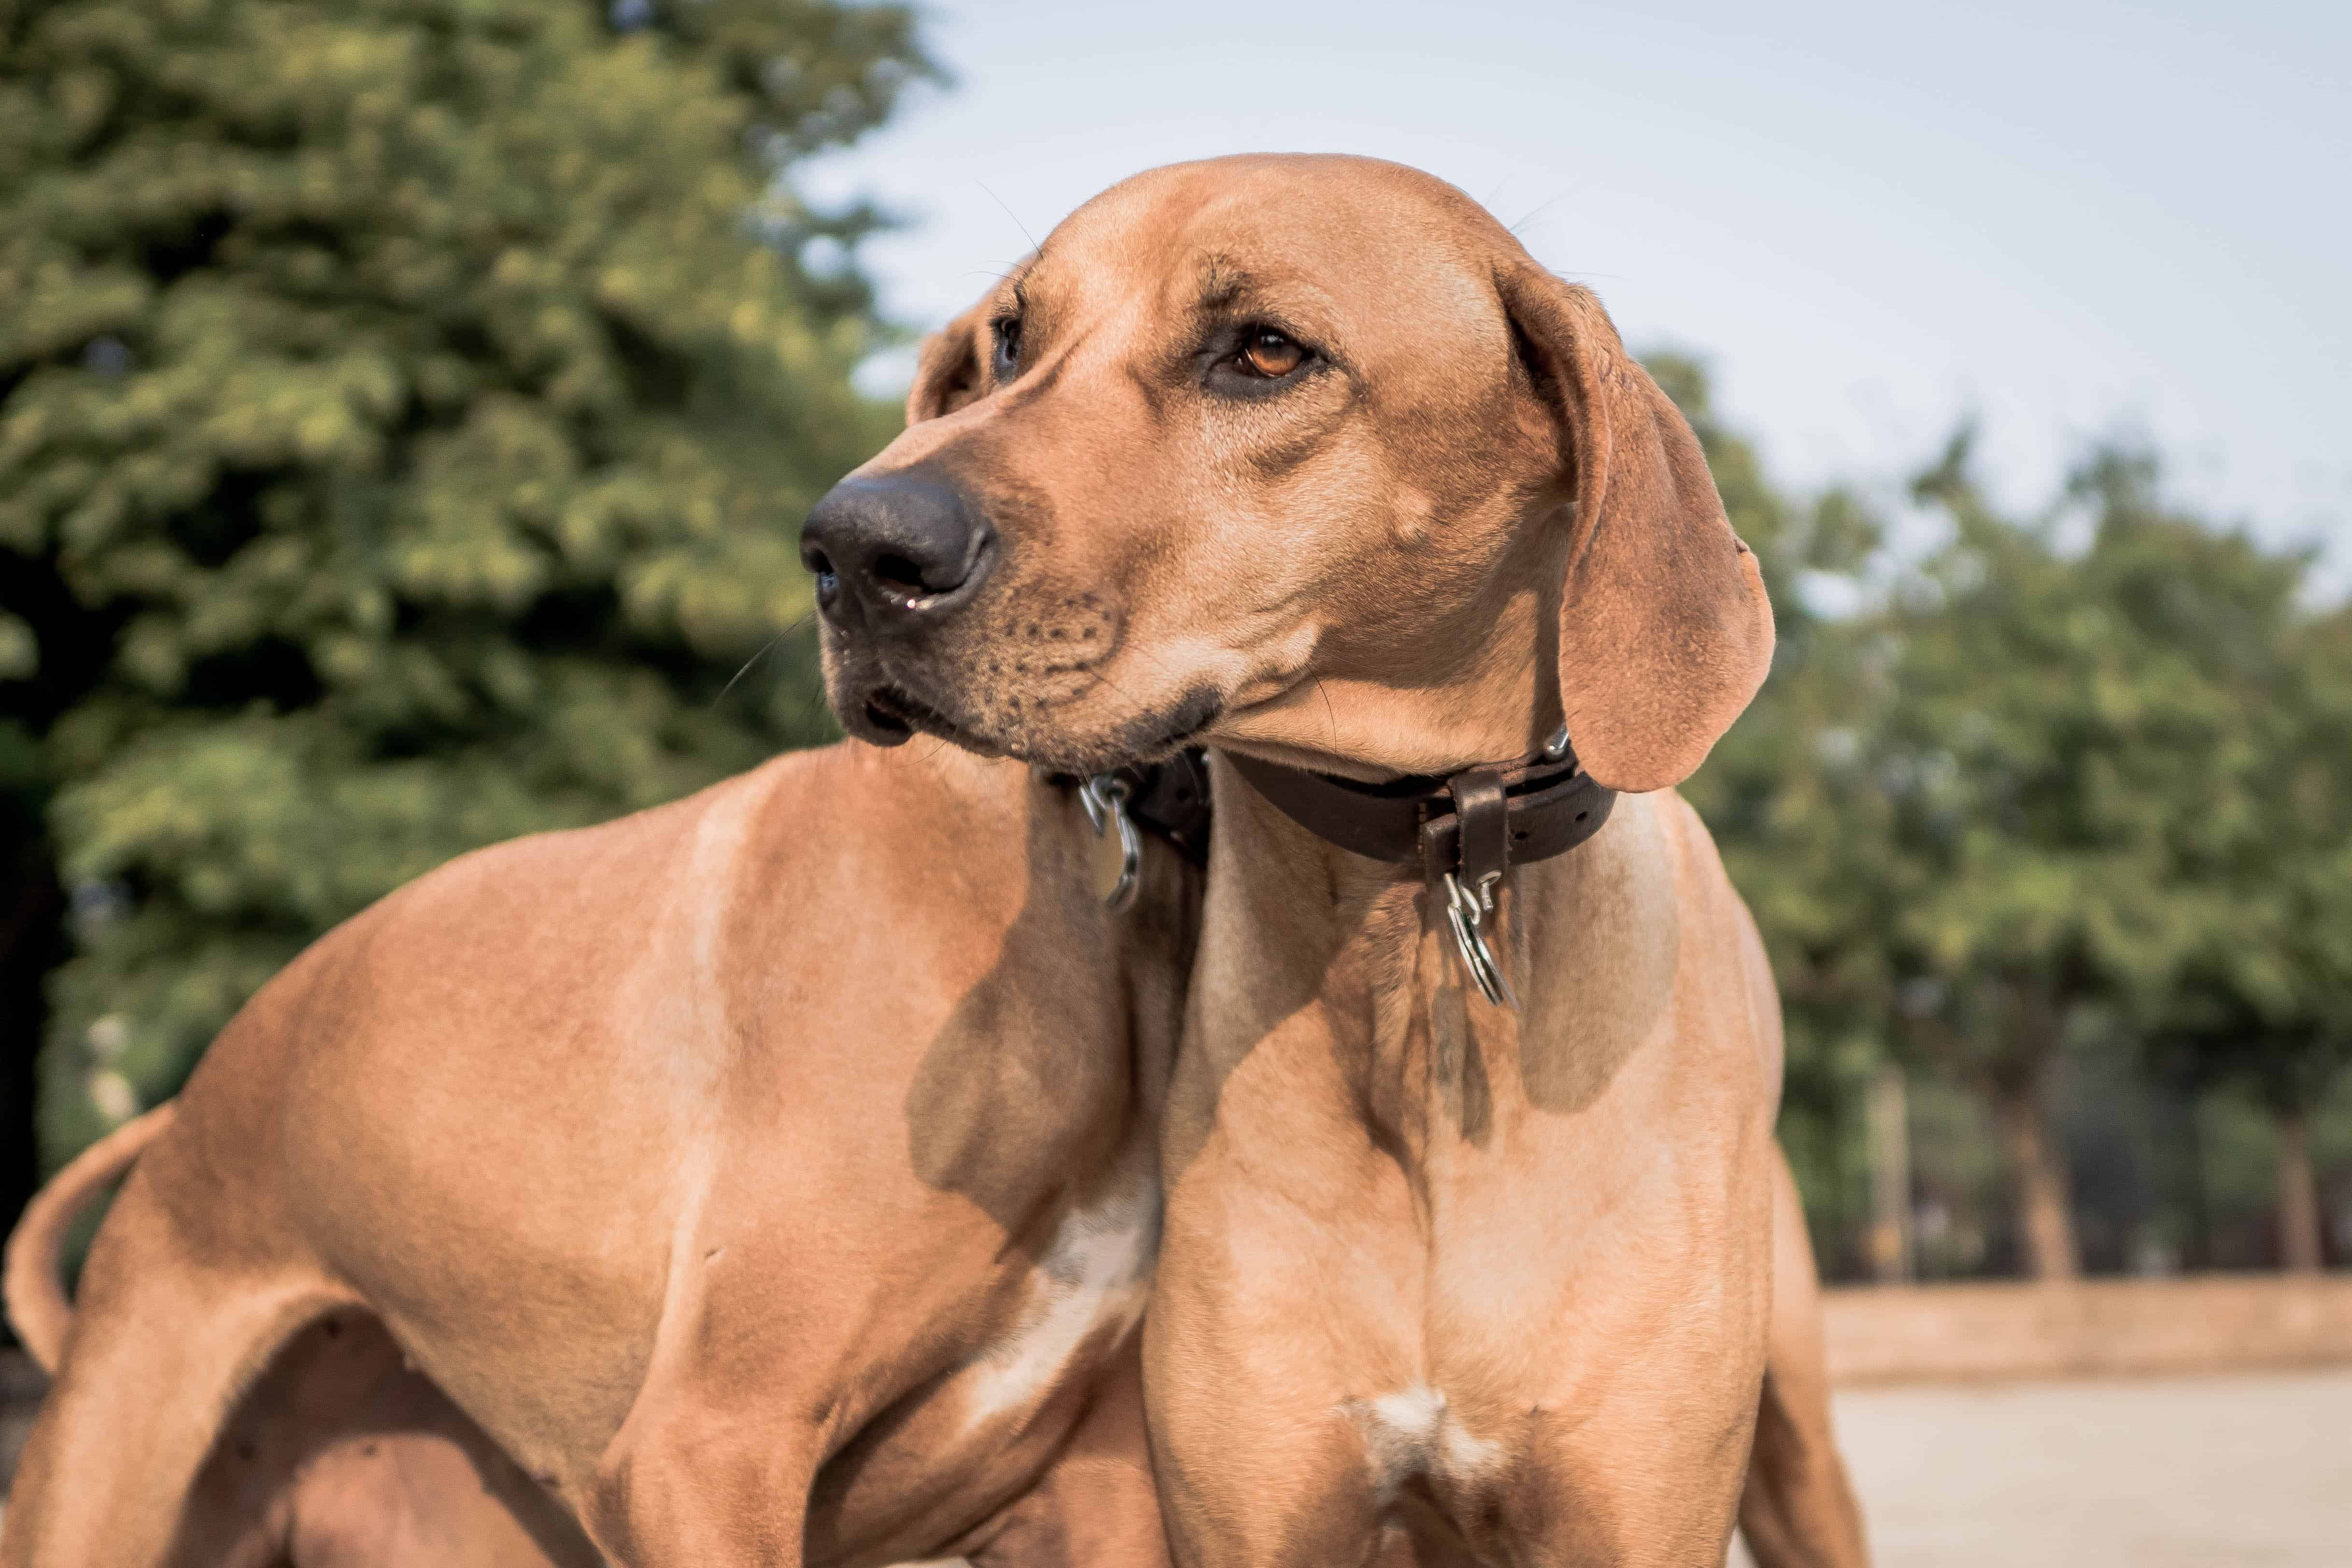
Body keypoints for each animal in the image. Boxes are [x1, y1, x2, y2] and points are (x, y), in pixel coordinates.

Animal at [799, 150, 1863, 1568]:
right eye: (1012, 338)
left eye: (1264, 351)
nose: (853, 546)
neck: (1410, 924)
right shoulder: (1248, 1505)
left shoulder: (1638, 1510)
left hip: (1797, 1449)